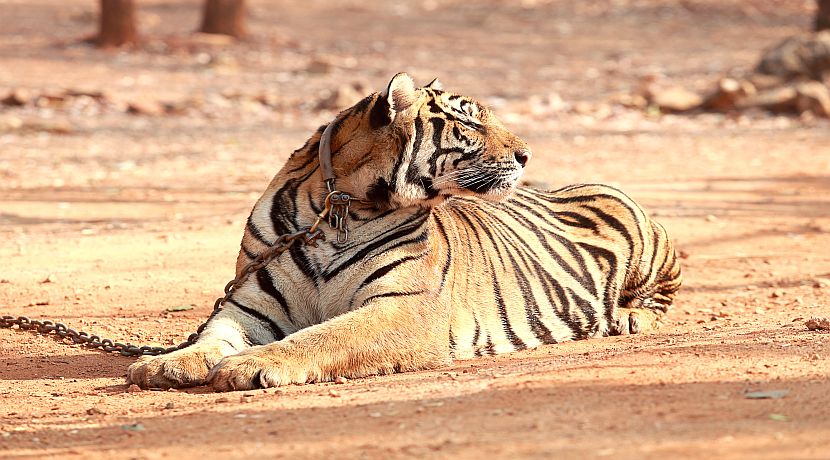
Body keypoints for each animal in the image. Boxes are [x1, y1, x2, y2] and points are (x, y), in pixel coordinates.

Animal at [128, 73, 682, 391]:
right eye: (470, 124)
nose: (527, 154)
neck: (343, 207)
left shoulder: (406, 307)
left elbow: (324, 335)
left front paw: (251, 365)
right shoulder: (251, 303)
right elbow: (213, 334)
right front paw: (166, 364)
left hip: (642, 230)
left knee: (663, 293)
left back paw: (629, 318)